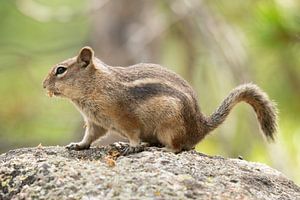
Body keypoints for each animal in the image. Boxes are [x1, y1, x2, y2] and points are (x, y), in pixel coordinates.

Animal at [42, 47, 276, 153]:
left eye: (61, 70)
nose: (43, 85)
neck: (96, 86)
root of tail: (200, 126)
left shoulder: (124, 117)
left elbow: (132, 132)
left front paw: (132, 146)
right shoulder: (95, 121)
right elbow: (90, 136)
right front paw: (78, 145)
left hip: (169, 126)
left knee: (178, 147)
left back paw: (162, 149)